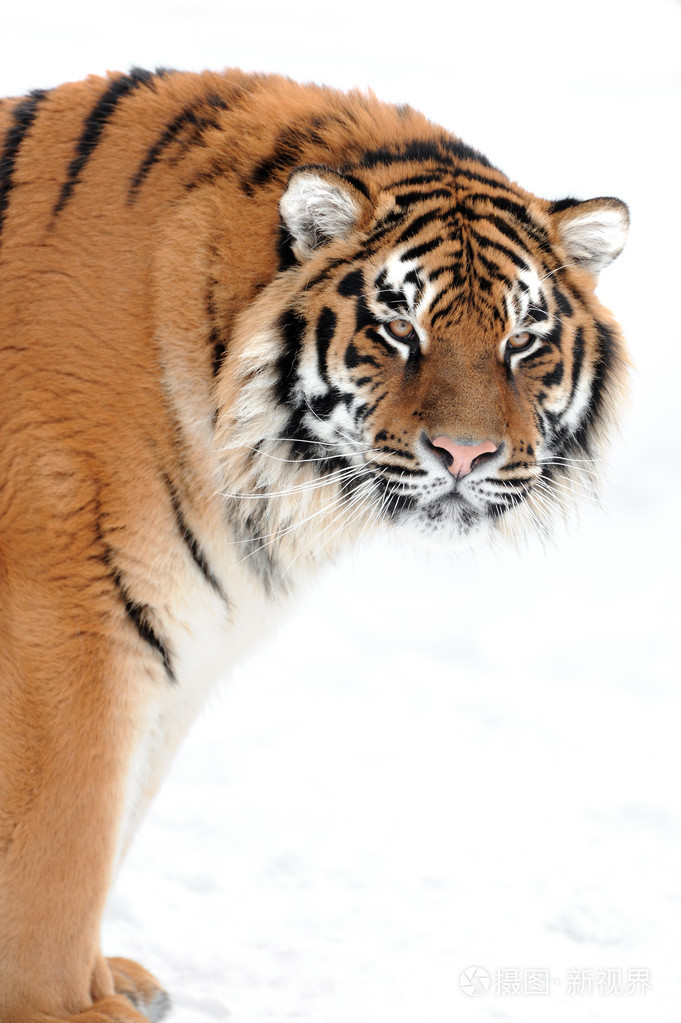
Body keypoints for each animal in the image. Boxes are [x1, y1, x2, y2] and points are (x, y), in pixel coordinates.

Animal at [0, 67, 628, 1022]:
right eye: (399, 327)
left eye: (521, 340)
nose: (465, 453)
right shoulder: (68, 629)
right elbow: (62, 849)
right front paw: (66, 1009)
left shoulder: (178, 645)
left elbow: (112, 821)